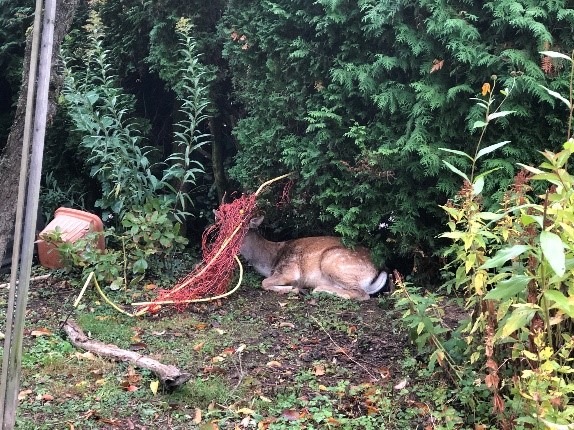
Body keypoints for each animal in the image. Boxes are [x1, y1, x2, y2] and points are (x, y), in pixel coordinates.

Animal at [238, 217, 392, 300]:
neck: (270, 262)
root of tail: (380, 269)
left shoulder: (289, 270)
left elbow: (264, 282)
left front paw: (293, 288)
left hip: (333, 261)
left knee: (362, 294)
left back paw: (316, 289)